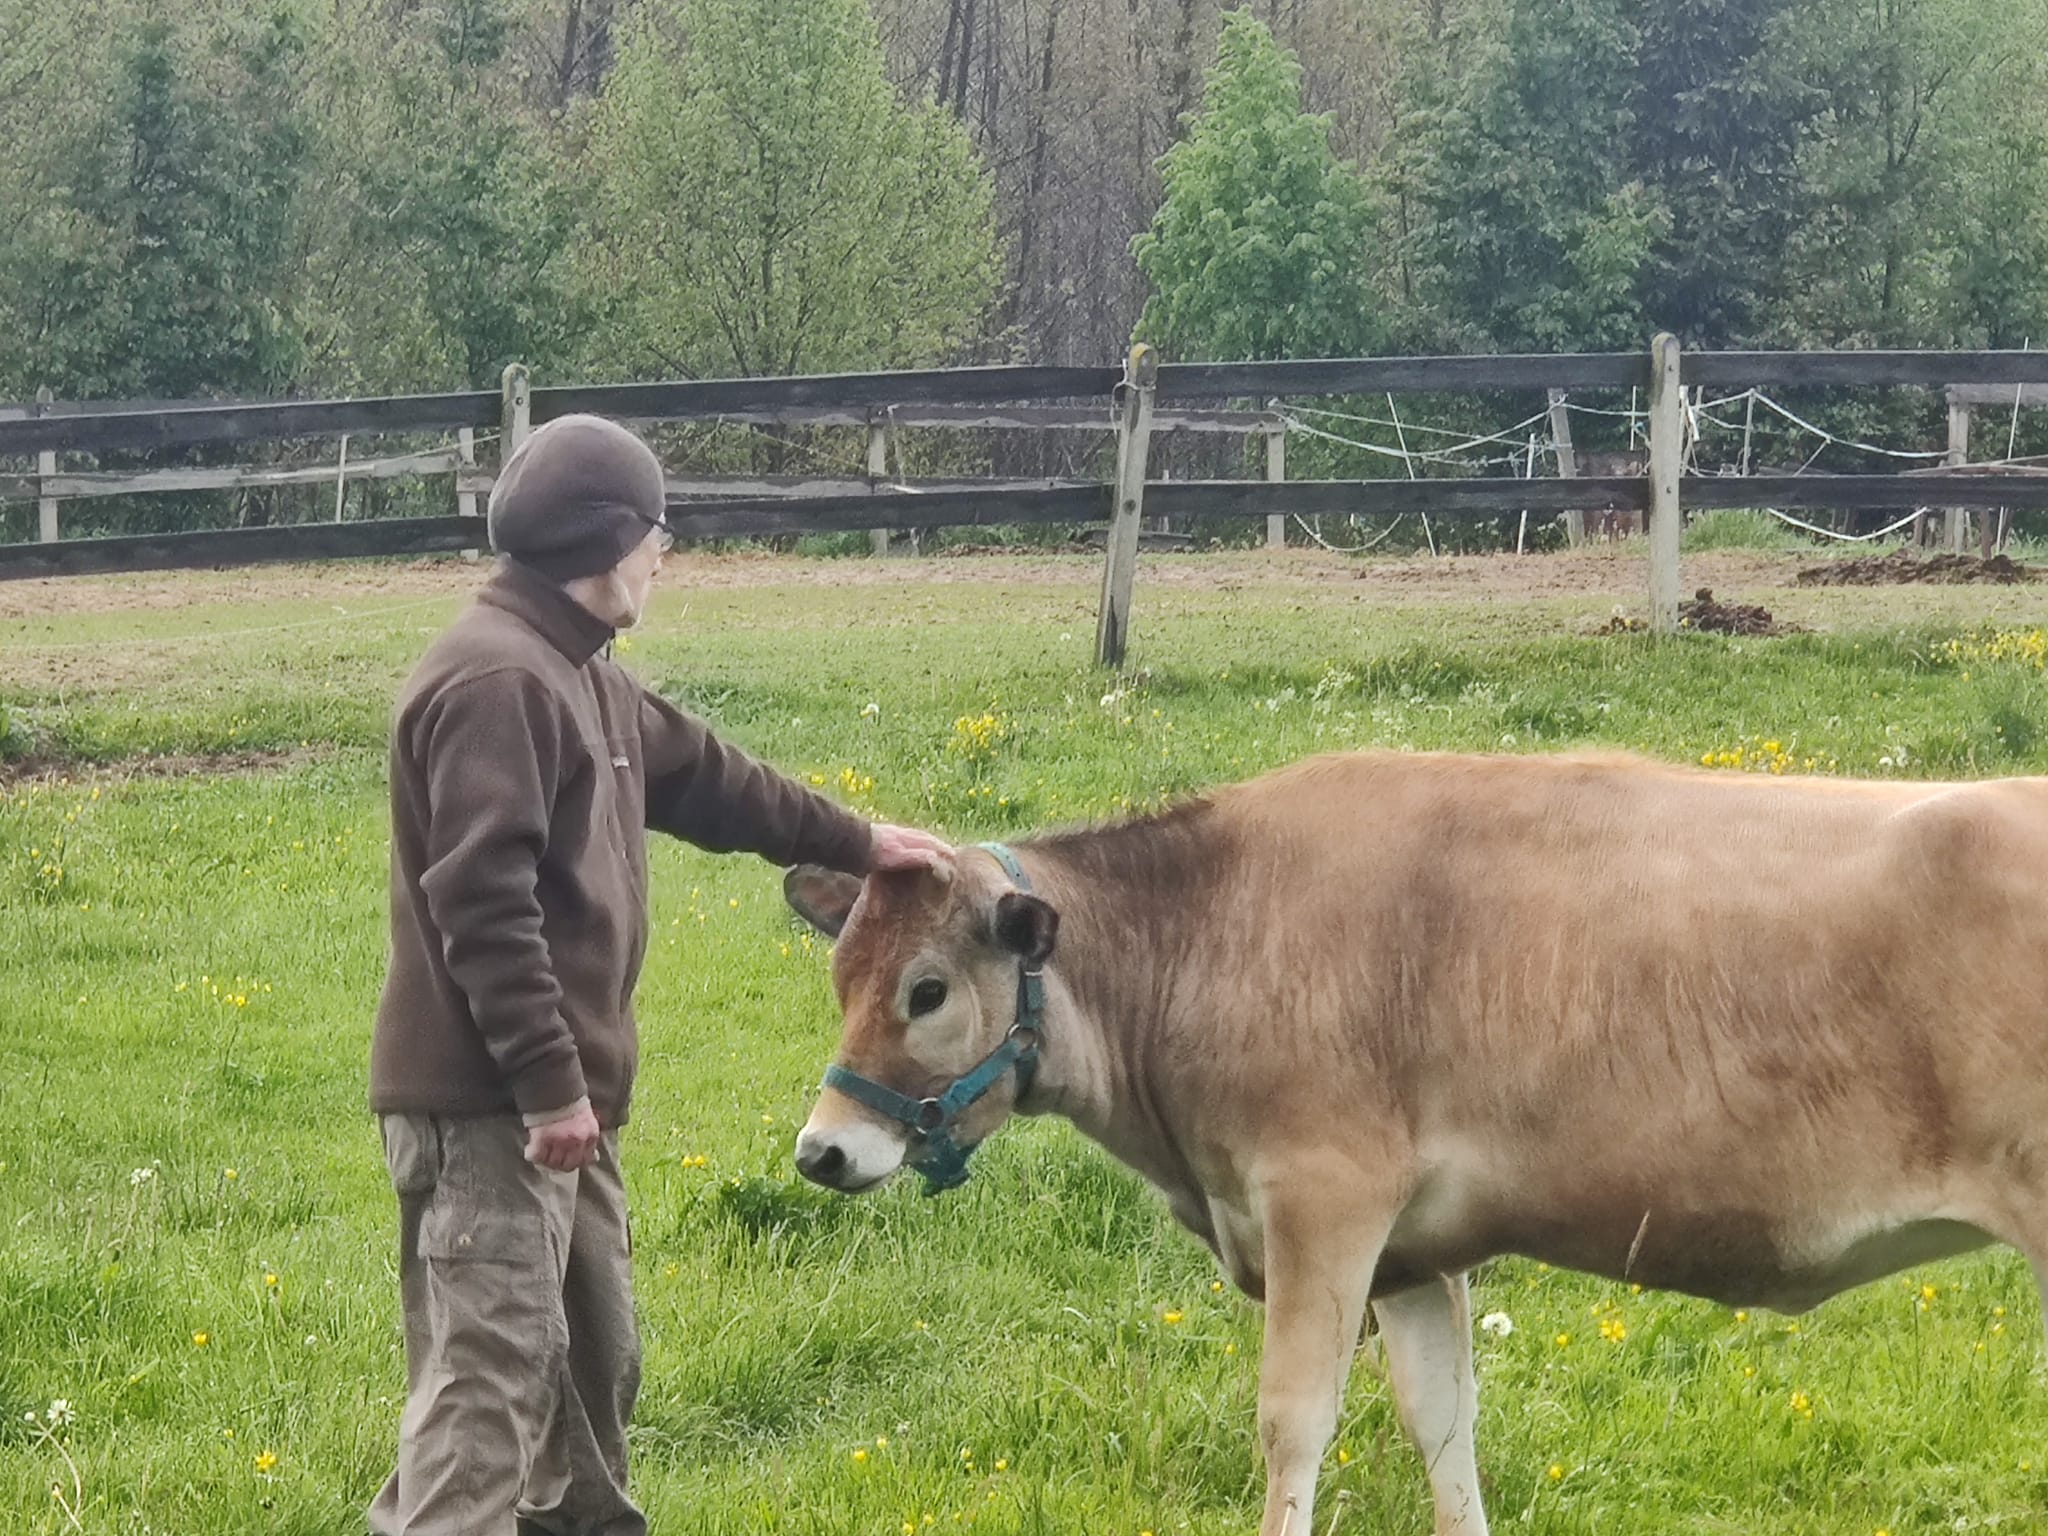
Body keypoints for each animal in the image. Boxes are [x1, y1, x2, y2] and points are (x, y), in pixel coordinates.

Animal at [778, 753, 2048, 1531]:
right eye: (839, 976)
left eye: (926, 991)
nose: (821, 1152)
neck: (1208, 928)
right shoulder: (1413, 1255)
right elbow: (1441, 1424)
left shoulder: (1323, 1202)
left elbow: (1292, 1422)